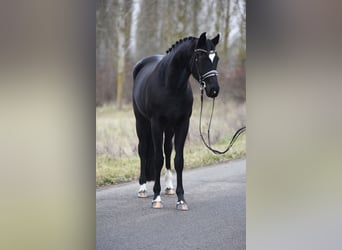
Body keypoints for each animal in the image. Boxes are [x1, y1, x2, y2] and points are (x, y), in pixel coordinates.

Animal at [132, 32, 220, 210]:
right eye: (200, 57)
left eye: (217, 58)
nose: (213, 90)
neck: (170, 86)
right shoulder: (156, 124)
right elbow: (157, 159)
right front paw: (156, 198)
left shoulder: (182, 124)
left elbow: (178, 160)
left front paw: (181, 199)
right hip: (141, 122)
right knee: (143, 150)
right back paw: (143, 189)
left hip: (169, 127)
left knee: (167, 149)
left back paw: (169, 187)